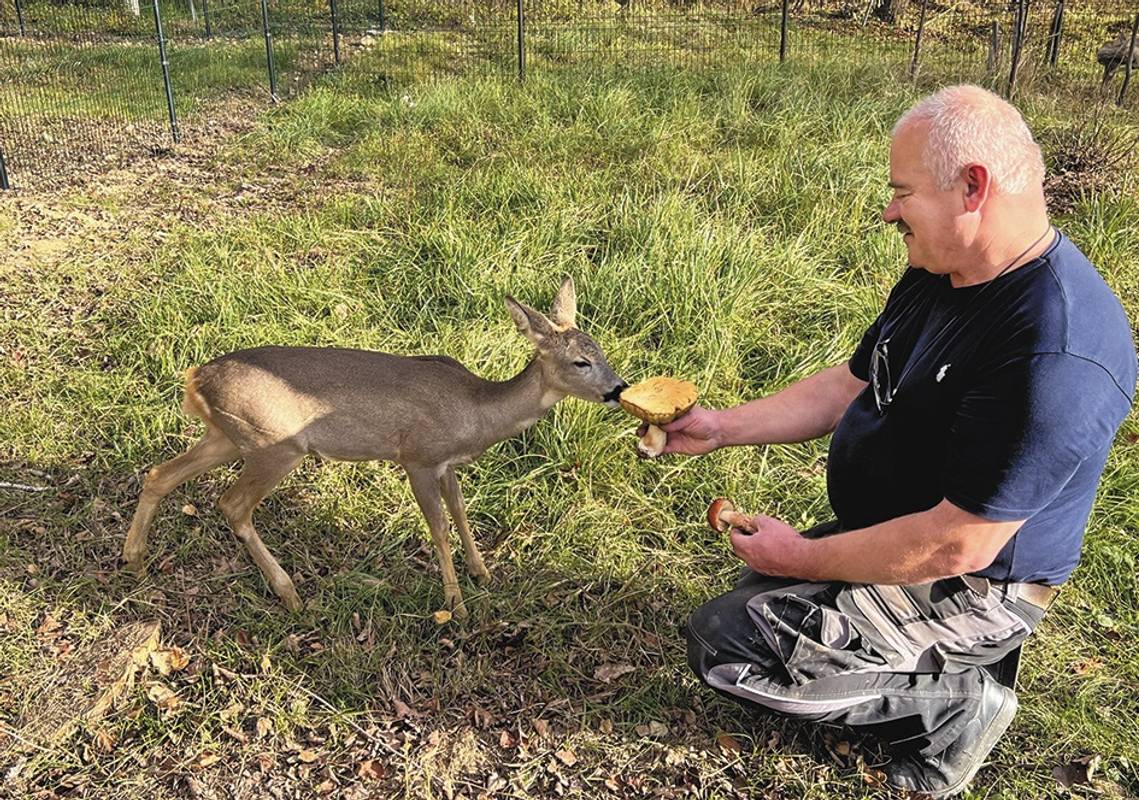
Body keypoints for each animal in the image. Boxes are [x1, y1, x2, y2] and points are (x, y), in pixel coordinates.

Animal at [120, 279, 628, 624]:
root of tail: (194, 379)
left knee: (160, 474)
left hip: (227, 436)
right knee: (232, 504)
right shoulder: (417, 457)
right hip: (274, 443)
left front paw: (482, 573)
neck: (475, 412)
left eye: (601, 349)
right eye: (581, 362)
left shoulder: (445, 464)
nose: (618, 389)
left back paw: (135, 560)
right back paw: (290, 593)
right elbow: (440, 527)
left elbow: (461, 512)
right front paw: (456, 604)